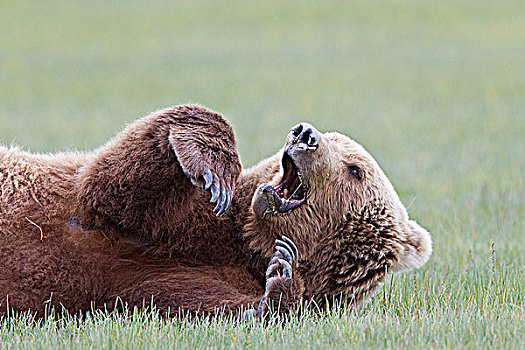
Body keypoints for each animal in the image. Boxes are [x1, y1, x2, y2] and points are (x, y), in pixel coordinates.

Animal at [0, 104, 430, 318]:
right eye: (334, 138)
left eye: (355, 169)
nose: (305, 134)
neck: (246, 242)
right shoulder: (187, 221)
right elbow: (110, 187)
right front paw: (212, 164)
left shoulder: (141, 278)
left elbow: (188, 301)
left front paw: (282, 277)